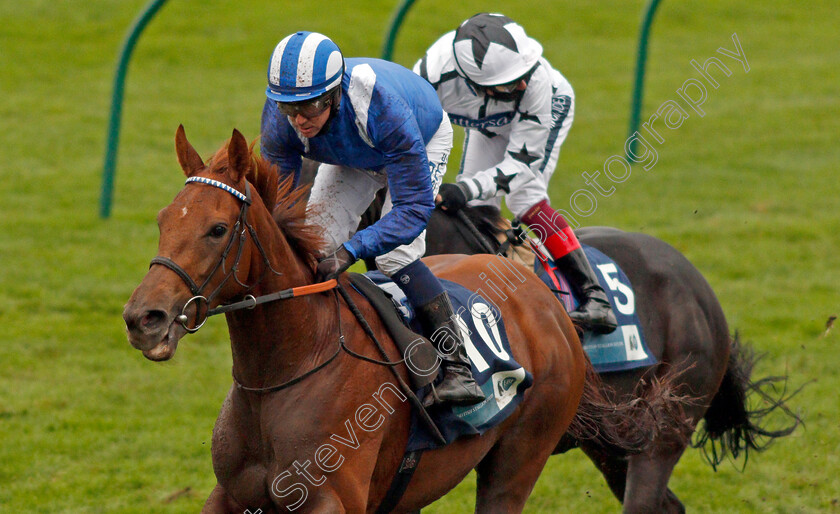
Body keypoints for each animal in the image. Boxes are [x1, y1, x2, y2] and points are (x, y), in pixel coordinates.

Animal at [123, 126, 656, 510]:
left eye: (216, 229)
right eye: (162, 219)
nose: (143, 317)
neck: (288, 367)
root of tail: (542, 296)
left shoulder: (329, 501)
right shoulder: (231, 496)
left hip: (521, 458)